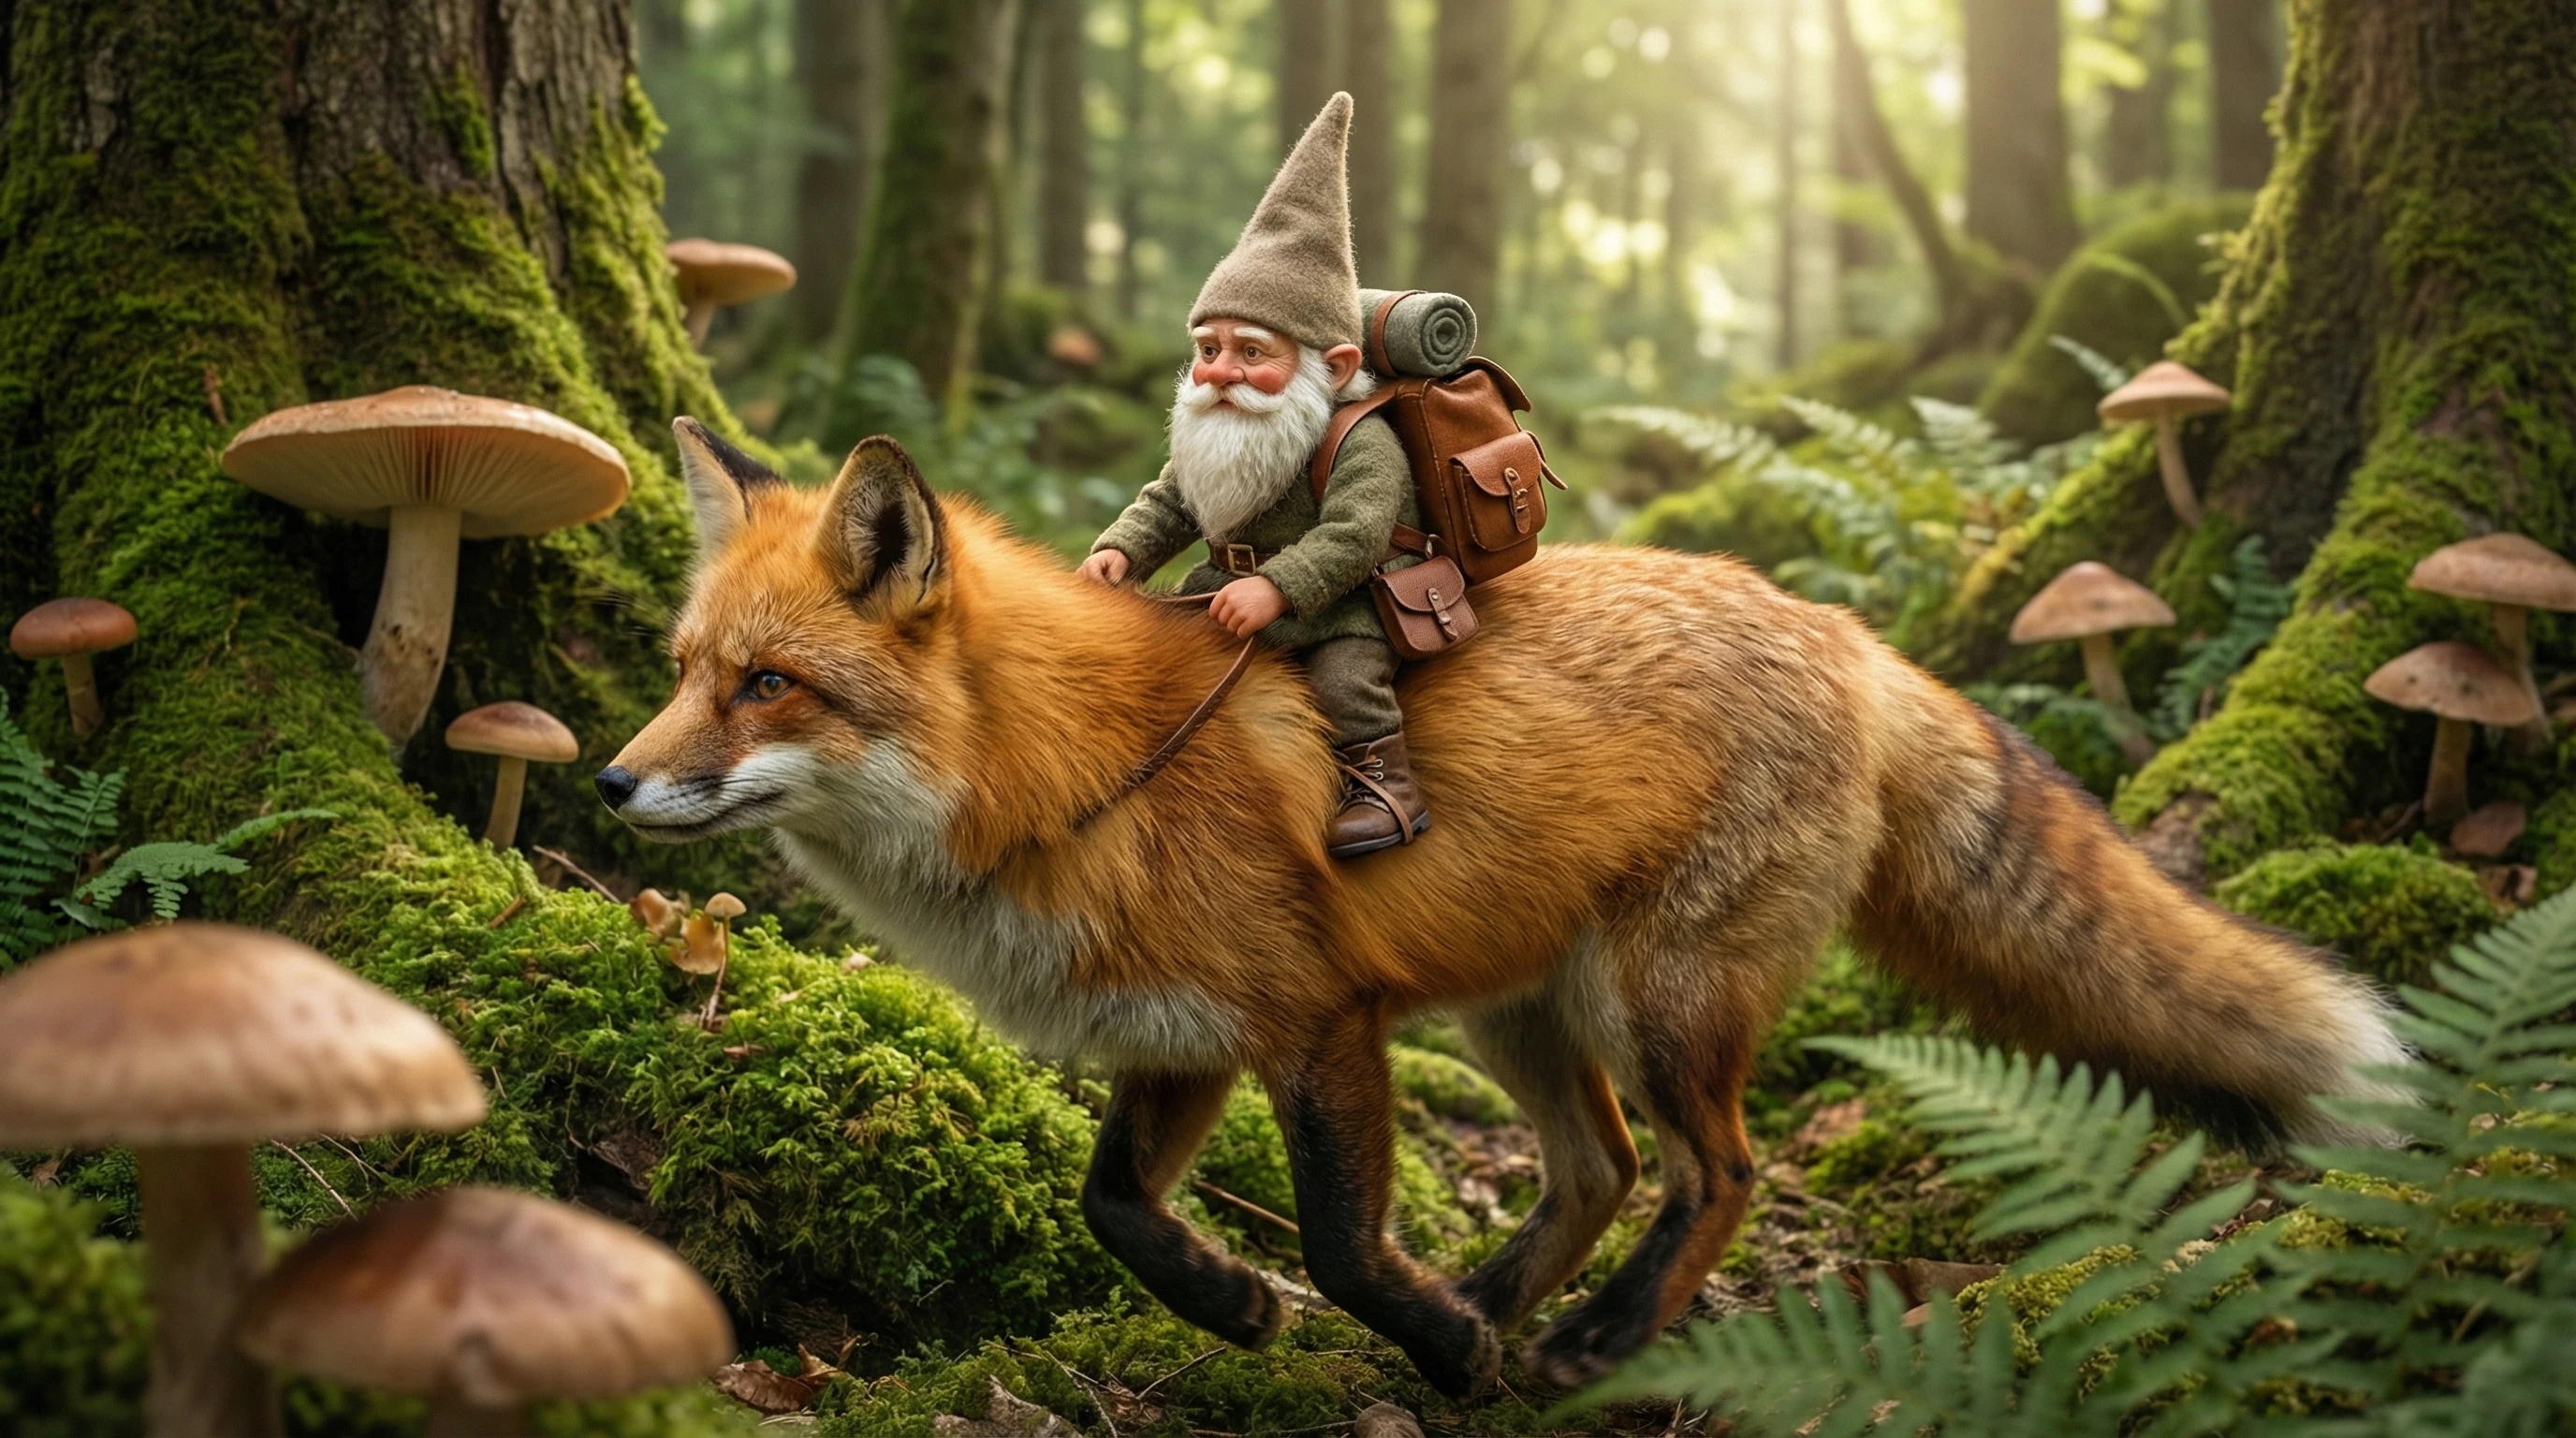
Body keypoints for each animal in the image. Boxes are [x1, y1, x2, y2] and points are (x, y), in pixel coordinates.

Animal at [599, 419, 2404, 1397]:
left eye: (768, 687)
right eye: (683, 672)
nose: (612, 786)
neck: (1069, 773)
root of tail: (1840, 628)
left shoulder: (1315, 1020)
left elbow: (1340, 1234)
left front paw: (1403, 1333)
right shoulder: (1182, 1035)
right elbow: (1114, 1209)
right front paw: (1245, 1304)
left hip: (1661, 1003)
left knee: (1715, 1172)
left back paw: (1584, 1337)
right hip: (1516, 1011)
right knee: (1598, 1165)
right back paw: (1496, 1305)